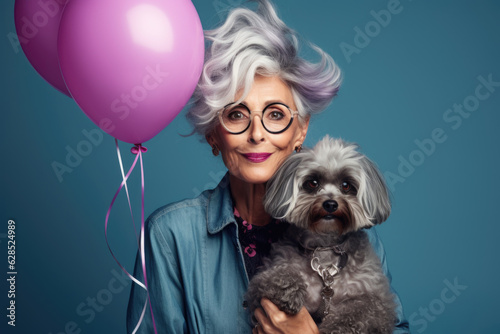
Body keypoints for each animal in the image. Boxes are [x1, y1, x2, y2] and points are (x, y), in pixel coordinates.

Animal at [246, 136, 398, 334]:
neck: (325, 246)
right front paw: (289, 292)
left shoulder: (379, 304)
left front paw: (336, 327)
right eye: (313, 183)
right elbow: (275, 276)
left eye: (346, 185)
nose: (331, 204)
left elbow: (358, 310)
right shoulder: (263, 281)